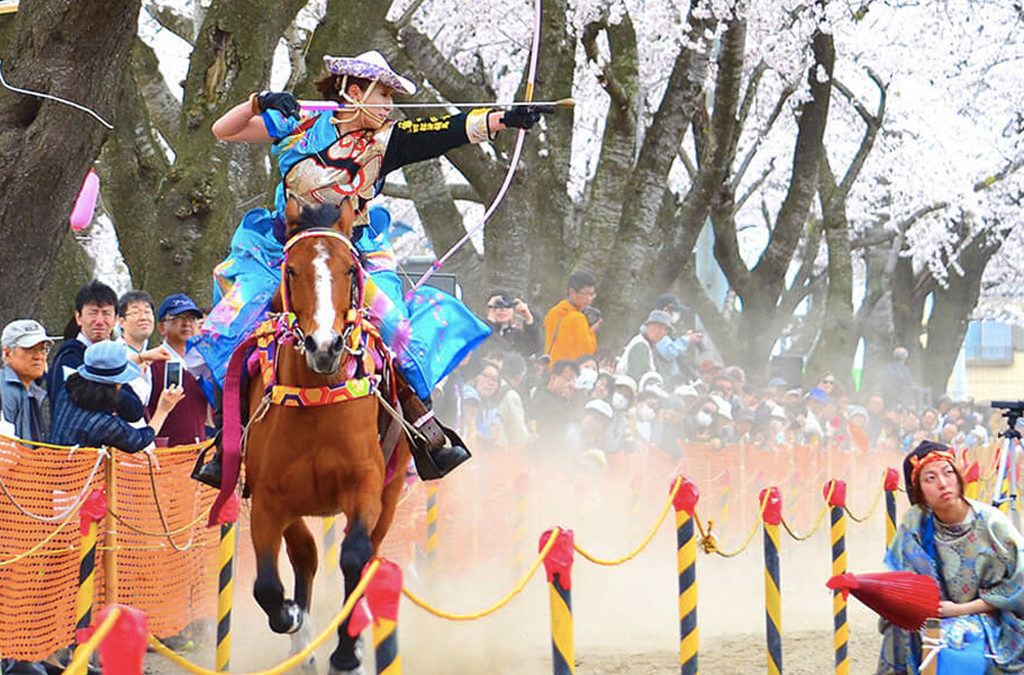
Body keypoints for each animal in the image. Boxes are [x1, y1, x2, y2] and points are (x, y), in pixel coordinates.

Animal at [241, 201, 409, 675]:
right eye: (291, 270)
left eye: (350, 270)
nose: (324, 345)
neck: (317, 398)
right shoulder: (268, 500)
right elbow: (267, 586)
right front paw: (295, 619)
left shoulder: (365, 485)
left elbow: (353, 556)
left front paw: (347, 652)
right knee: (307, 556)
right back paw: (302, 644)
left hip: (390, 493)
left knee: (364, 556)